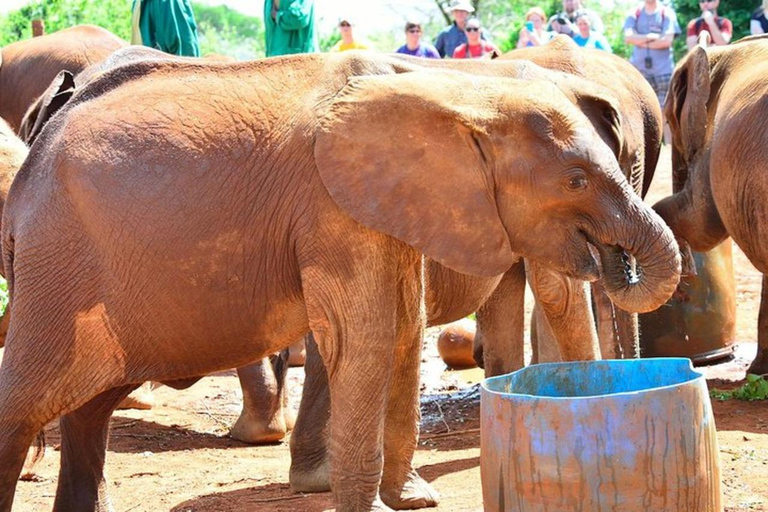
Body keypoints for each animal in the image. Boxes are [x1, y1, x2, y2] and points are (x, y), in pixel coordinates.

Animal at [0, 53, 680, 512]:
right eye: (575, 180)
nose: (618, 260)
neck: (460, 90)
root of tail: (32, 161)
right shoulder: (332, 207)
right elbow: (369, 336)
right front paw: (377, 506)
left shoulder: (388, 205)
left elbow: (402, 329)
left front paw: (412, 500)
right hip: (60, 265)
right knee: (26, 401)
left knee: (90, 409)